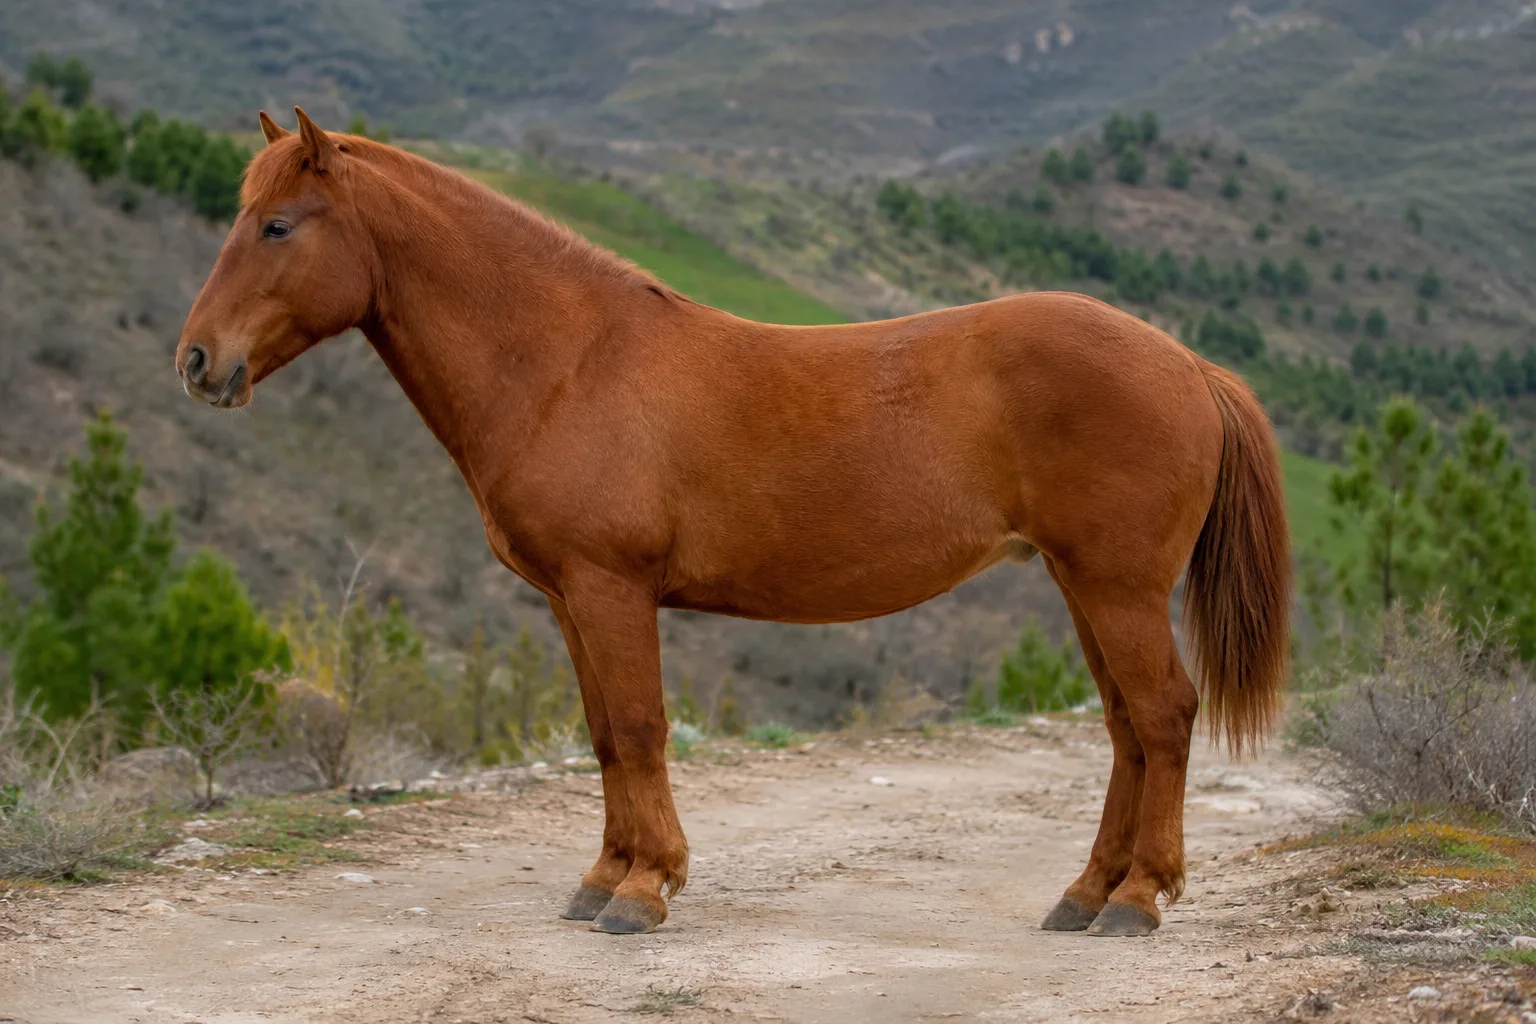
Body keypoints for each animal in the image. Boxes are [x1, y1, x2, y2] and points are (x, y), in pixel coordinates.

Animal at [176, 108, 1290, 937]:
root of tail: (1187, 363)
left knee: (1162, 716)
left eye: (280, 225)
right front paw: (605, 877)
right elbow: (604, 737)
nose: (197, 361)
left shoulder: (612, 589)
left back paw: (1138, 900)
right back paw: (1086, 894)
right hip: (1082, 583)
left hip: (1117, 586)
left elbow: (638, 729)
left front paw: (643, 890)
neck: (568, 360)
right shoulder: (571, 601)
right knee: (1126, 728)